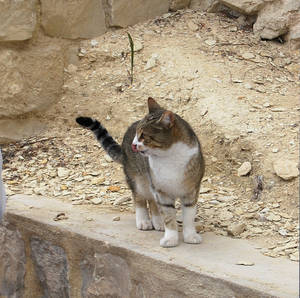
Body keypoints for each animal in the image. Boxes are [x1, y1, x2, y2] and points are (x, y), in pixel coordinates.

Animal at [76, 98, 205, 247]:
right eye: (137, 134)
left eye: (143, 136)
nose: (134, 144)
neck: (169, 157)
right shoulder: (161, 191)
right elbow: (168, 216)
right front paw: (171, 238)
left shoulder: (191, 190)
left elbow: (189, 216)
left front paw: (190, 235)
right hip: (138, 179)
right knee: (140, 198)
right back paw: (144, 221)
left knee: (152, 202)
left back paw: (158, 222)